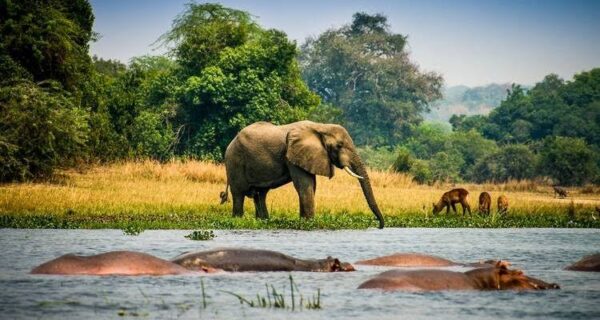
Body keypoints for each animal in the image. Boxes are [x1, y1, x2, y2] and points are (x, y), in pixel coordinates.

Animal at [220, 119, 384, 228]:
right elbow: (305, 185)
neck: (320, 127)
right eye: (339, 145)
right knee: (239, 194)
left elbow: (311, 186)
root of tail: (230, 143)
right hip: (234, 162)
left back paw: (263, 221)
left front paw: (304, 221)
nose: (380, 226)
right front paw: (309, 223)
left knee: (260, 194)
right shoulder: (292, 155)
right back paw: (238, 220)